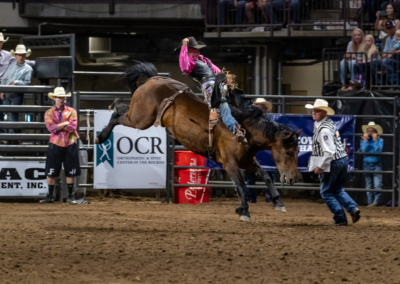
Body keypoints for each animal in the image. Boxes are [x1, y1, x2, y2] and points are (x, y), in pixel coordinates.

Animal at [95, 61, 300, 222]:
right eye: (289, 152)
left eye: (298, 152)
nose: (292, 179)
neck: (242, 129)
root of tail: (153, 79)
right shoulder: (230, 163)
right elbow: (241, 185)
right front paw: (244, 211)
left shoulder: (247, 161)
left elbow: (265, 176)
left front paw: (278, 202)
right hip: (141, 119)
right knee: (117, 115)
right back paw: (101, 135)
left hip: (141, 117)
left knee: (120, 112)